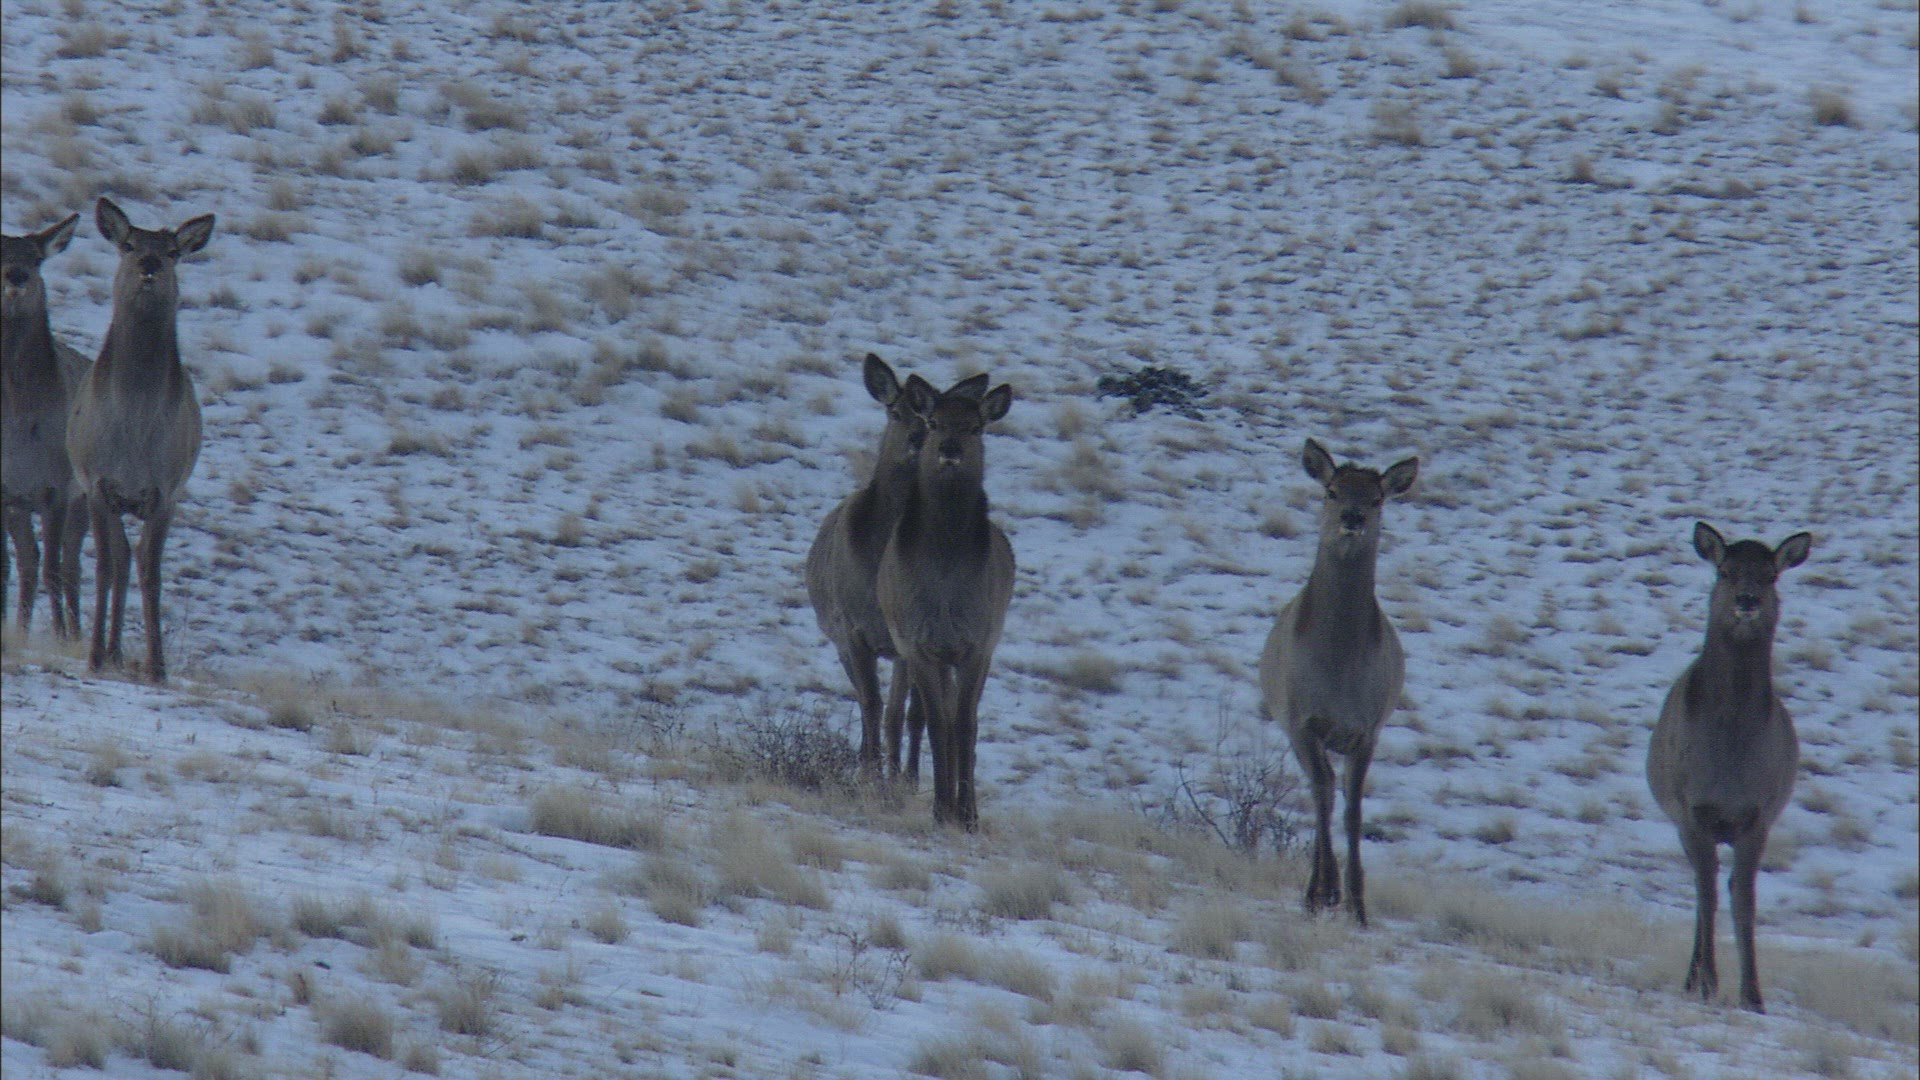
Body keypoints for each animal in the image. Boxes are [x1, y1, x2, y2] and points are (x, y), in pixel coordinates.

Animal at [65, 197, 213, 684]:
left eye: (173, 251)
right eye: (128, 244)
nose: (149, 265)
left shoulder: (166, 490)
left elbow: (153, 572)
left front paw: (157, 666)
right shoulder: (97, 483)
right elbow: (104, 567)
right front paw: (93, 657)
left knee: (132, 559)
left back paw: (119, 652)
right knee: (119, 560)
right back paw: (109, 651)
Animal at [805, 354, 986, 780]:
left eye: (930, 417)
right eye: (896, 411)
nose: (918, 440)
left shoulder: (906, 641)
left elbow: (902, 715)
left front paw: (900, 780)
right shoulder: (851, 629)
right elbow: (870, 704)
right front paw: (869, 774)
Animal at [876, 377, 1014, 829]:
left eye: (975, 426)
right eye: (932, 421)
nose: (949, 448)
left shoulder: (978, 643)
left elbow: (966, 725)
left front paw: (968, 815)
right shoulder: (918, 644)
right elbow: (938, 723)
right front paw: (940, 809)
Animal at [1259, 437, 1418, 926]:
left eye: (1377, 497)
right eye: (1331, 491)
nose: (1353, 517)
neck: (1338, 669)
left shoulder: (1367, 729)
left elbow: (1353, 809)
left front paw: (1357, 903)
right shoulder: (1301, 721)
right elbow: (1325, 795)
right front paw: (1322, 891)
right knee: (1319, 791)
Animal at [1646, 522, 1809, 1013]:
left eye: (1771, 575)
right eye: (1724, 570)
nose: (1747, 599)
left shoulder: (1757, 817)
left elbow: (1745, 903)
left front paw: (1752, 995)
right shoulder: (1692, 811)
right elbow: (1708, 895)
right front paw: (1706, 982)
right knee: (1705, 892)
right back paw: (1693, 977)